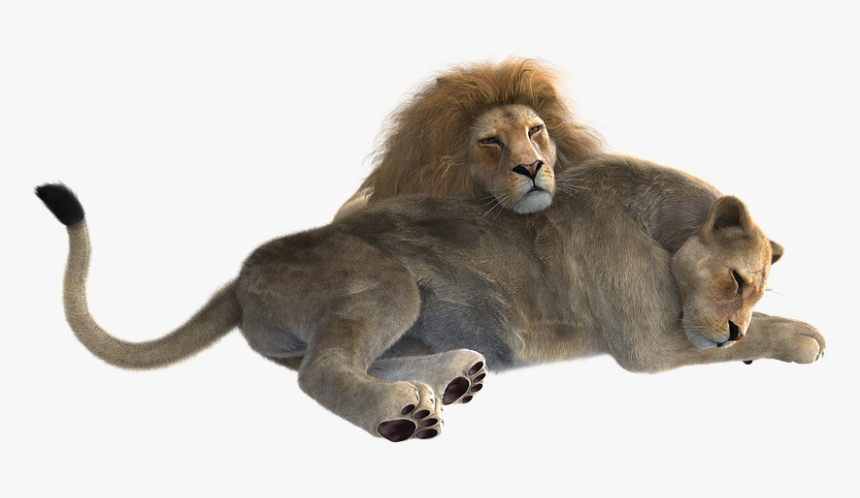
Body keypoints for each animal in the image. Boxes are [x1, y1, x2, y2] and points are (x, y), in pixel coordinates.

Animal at [36, 155, 825, 443]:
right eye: (736, 281)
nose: (728, 331)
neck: (663, 225)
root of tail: (241, 272)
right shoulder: (652, 345)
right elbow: (762, 337)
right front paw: (804, 338)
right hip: (388, 280)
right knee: (319, 371)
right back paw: (402, 414)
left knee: (344, 357)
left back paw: (451, 378)